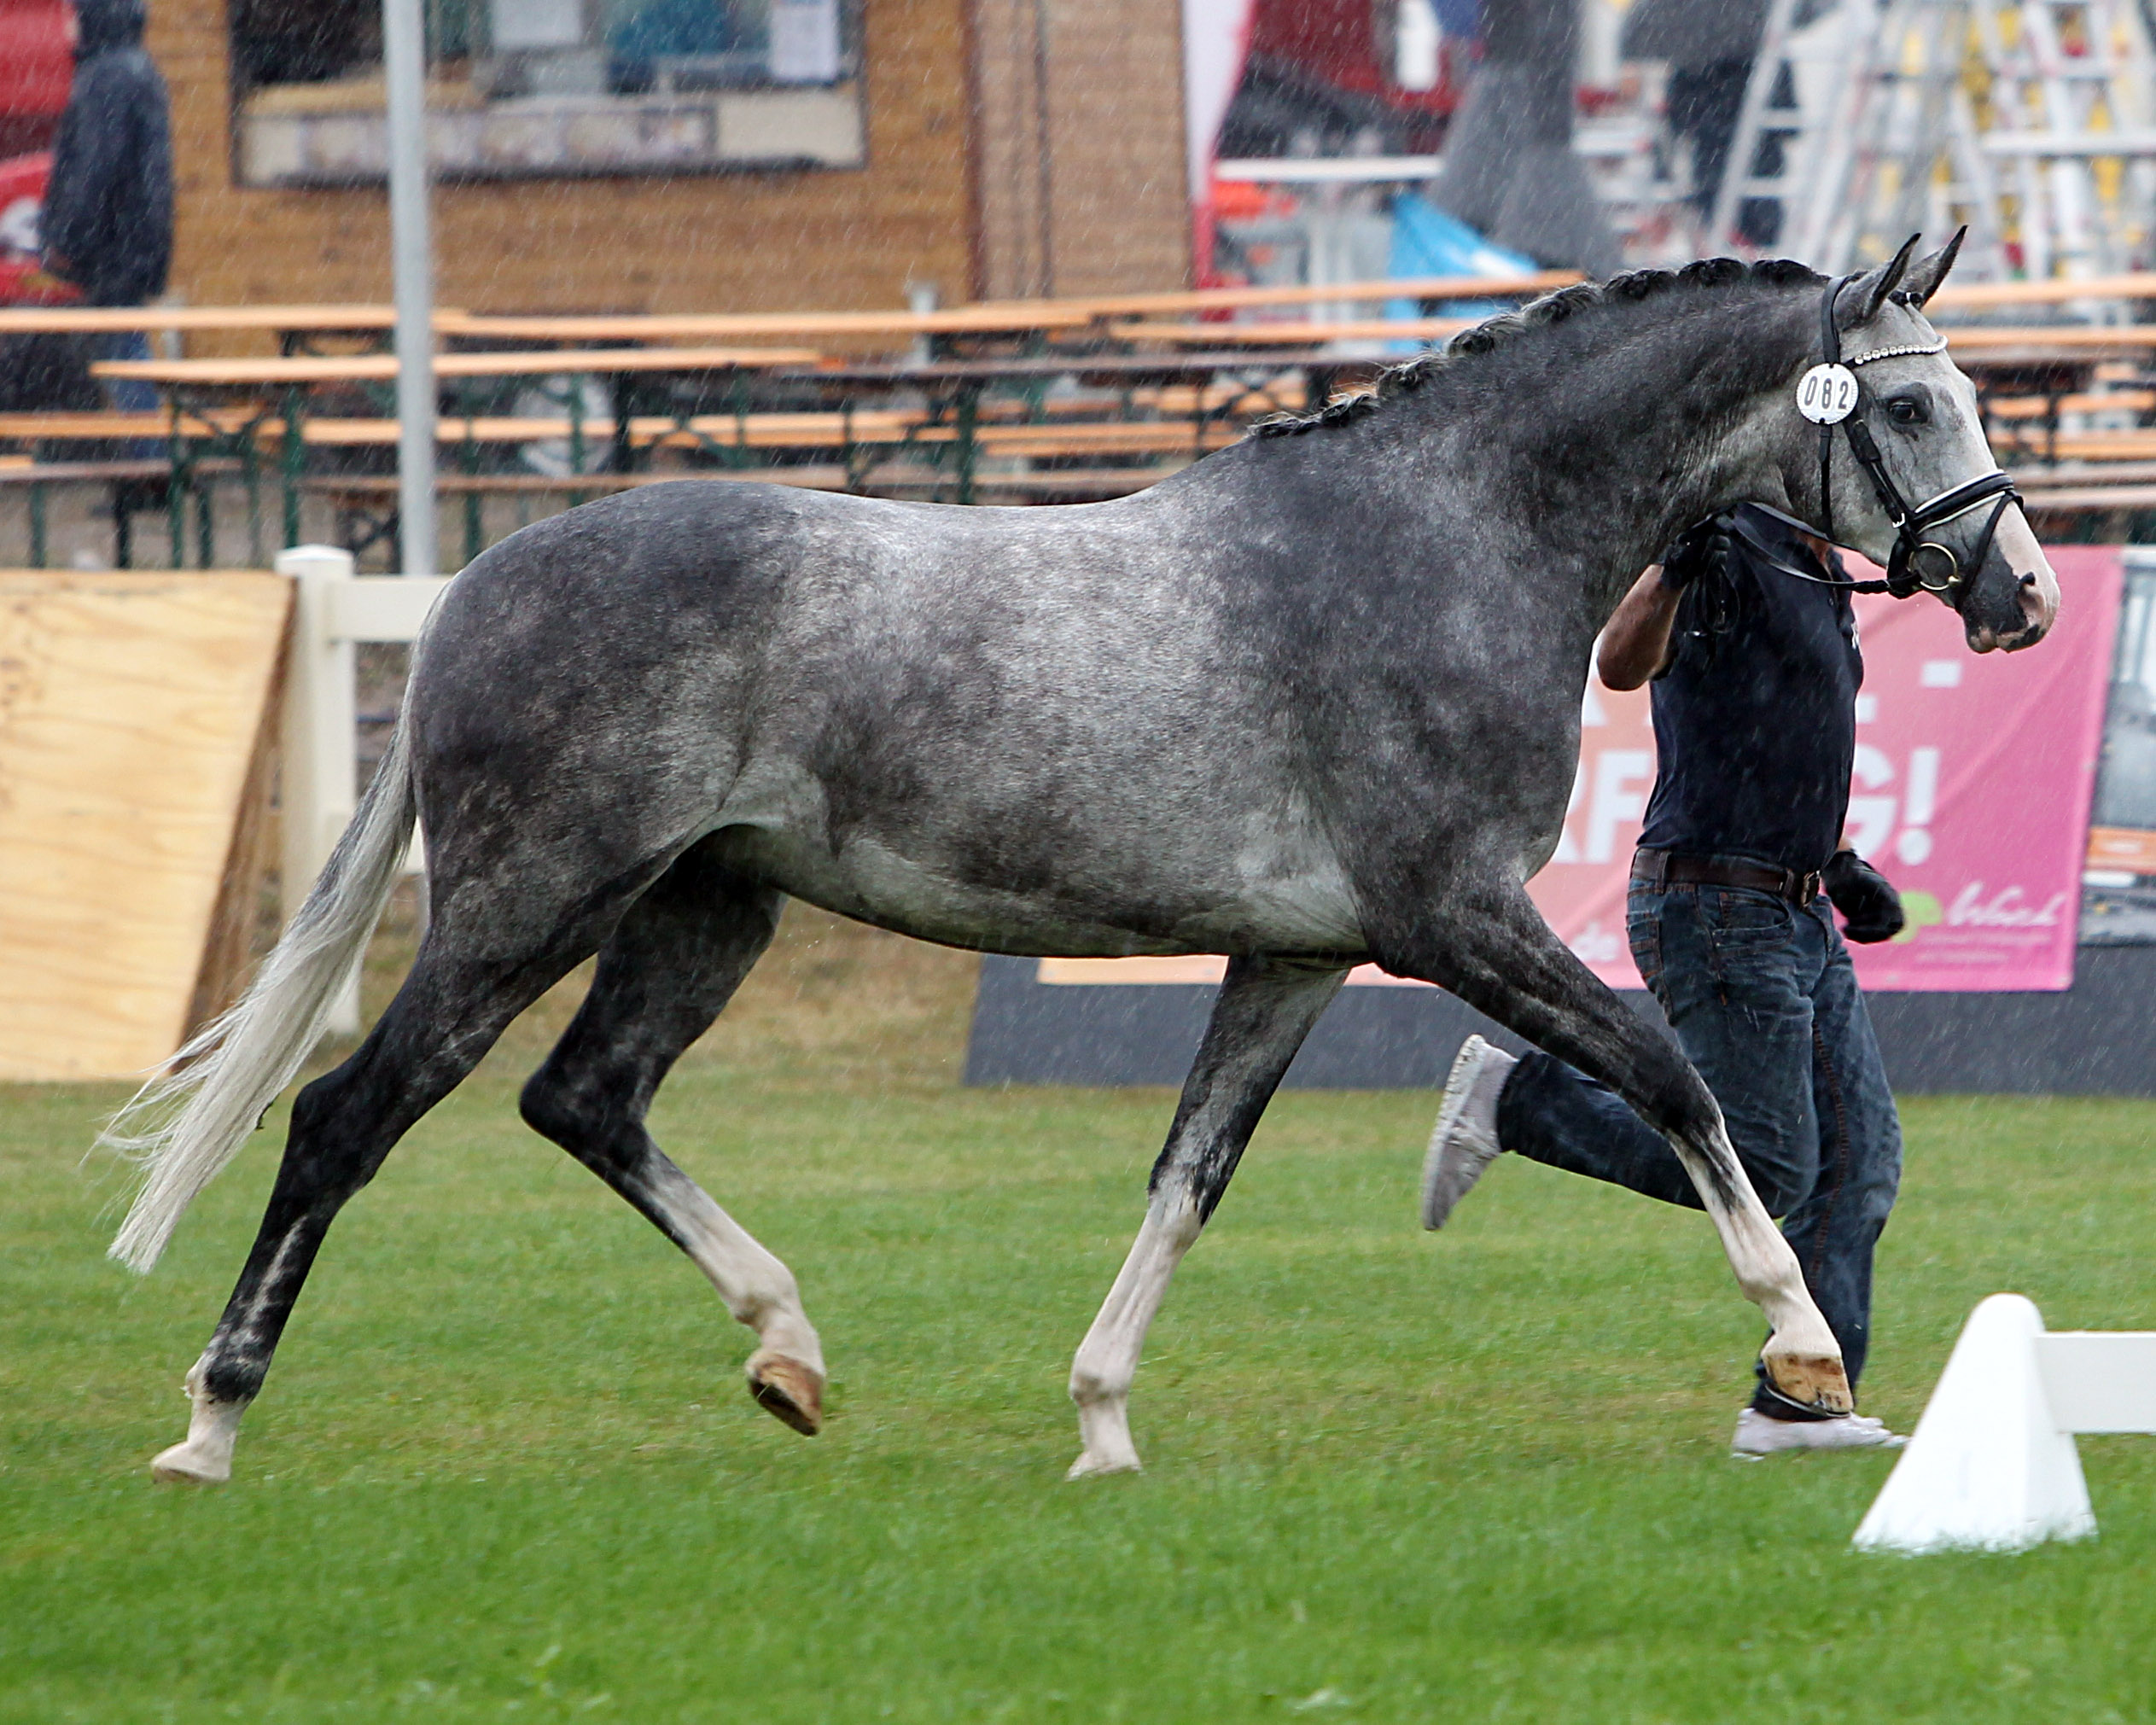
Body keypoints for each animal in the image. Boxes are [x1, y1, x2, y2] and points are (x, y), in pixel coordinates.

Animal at [105, 236, 2052, 1492]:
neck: (1447, 540)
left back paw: (787, 1349)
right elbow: (1671, 1076)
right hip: (529, 905)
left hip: (707, 909)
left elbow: (1190, 1172)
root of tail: (470, 592)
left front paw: (1103, 1418)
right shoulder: (1455, 919)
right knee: (345, 1117)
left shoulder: (1298, 955)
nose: (2022, 594)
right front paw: (1800, 1347)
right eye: (1912, 413)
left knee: (582, 1101)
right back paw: (207, 1421)